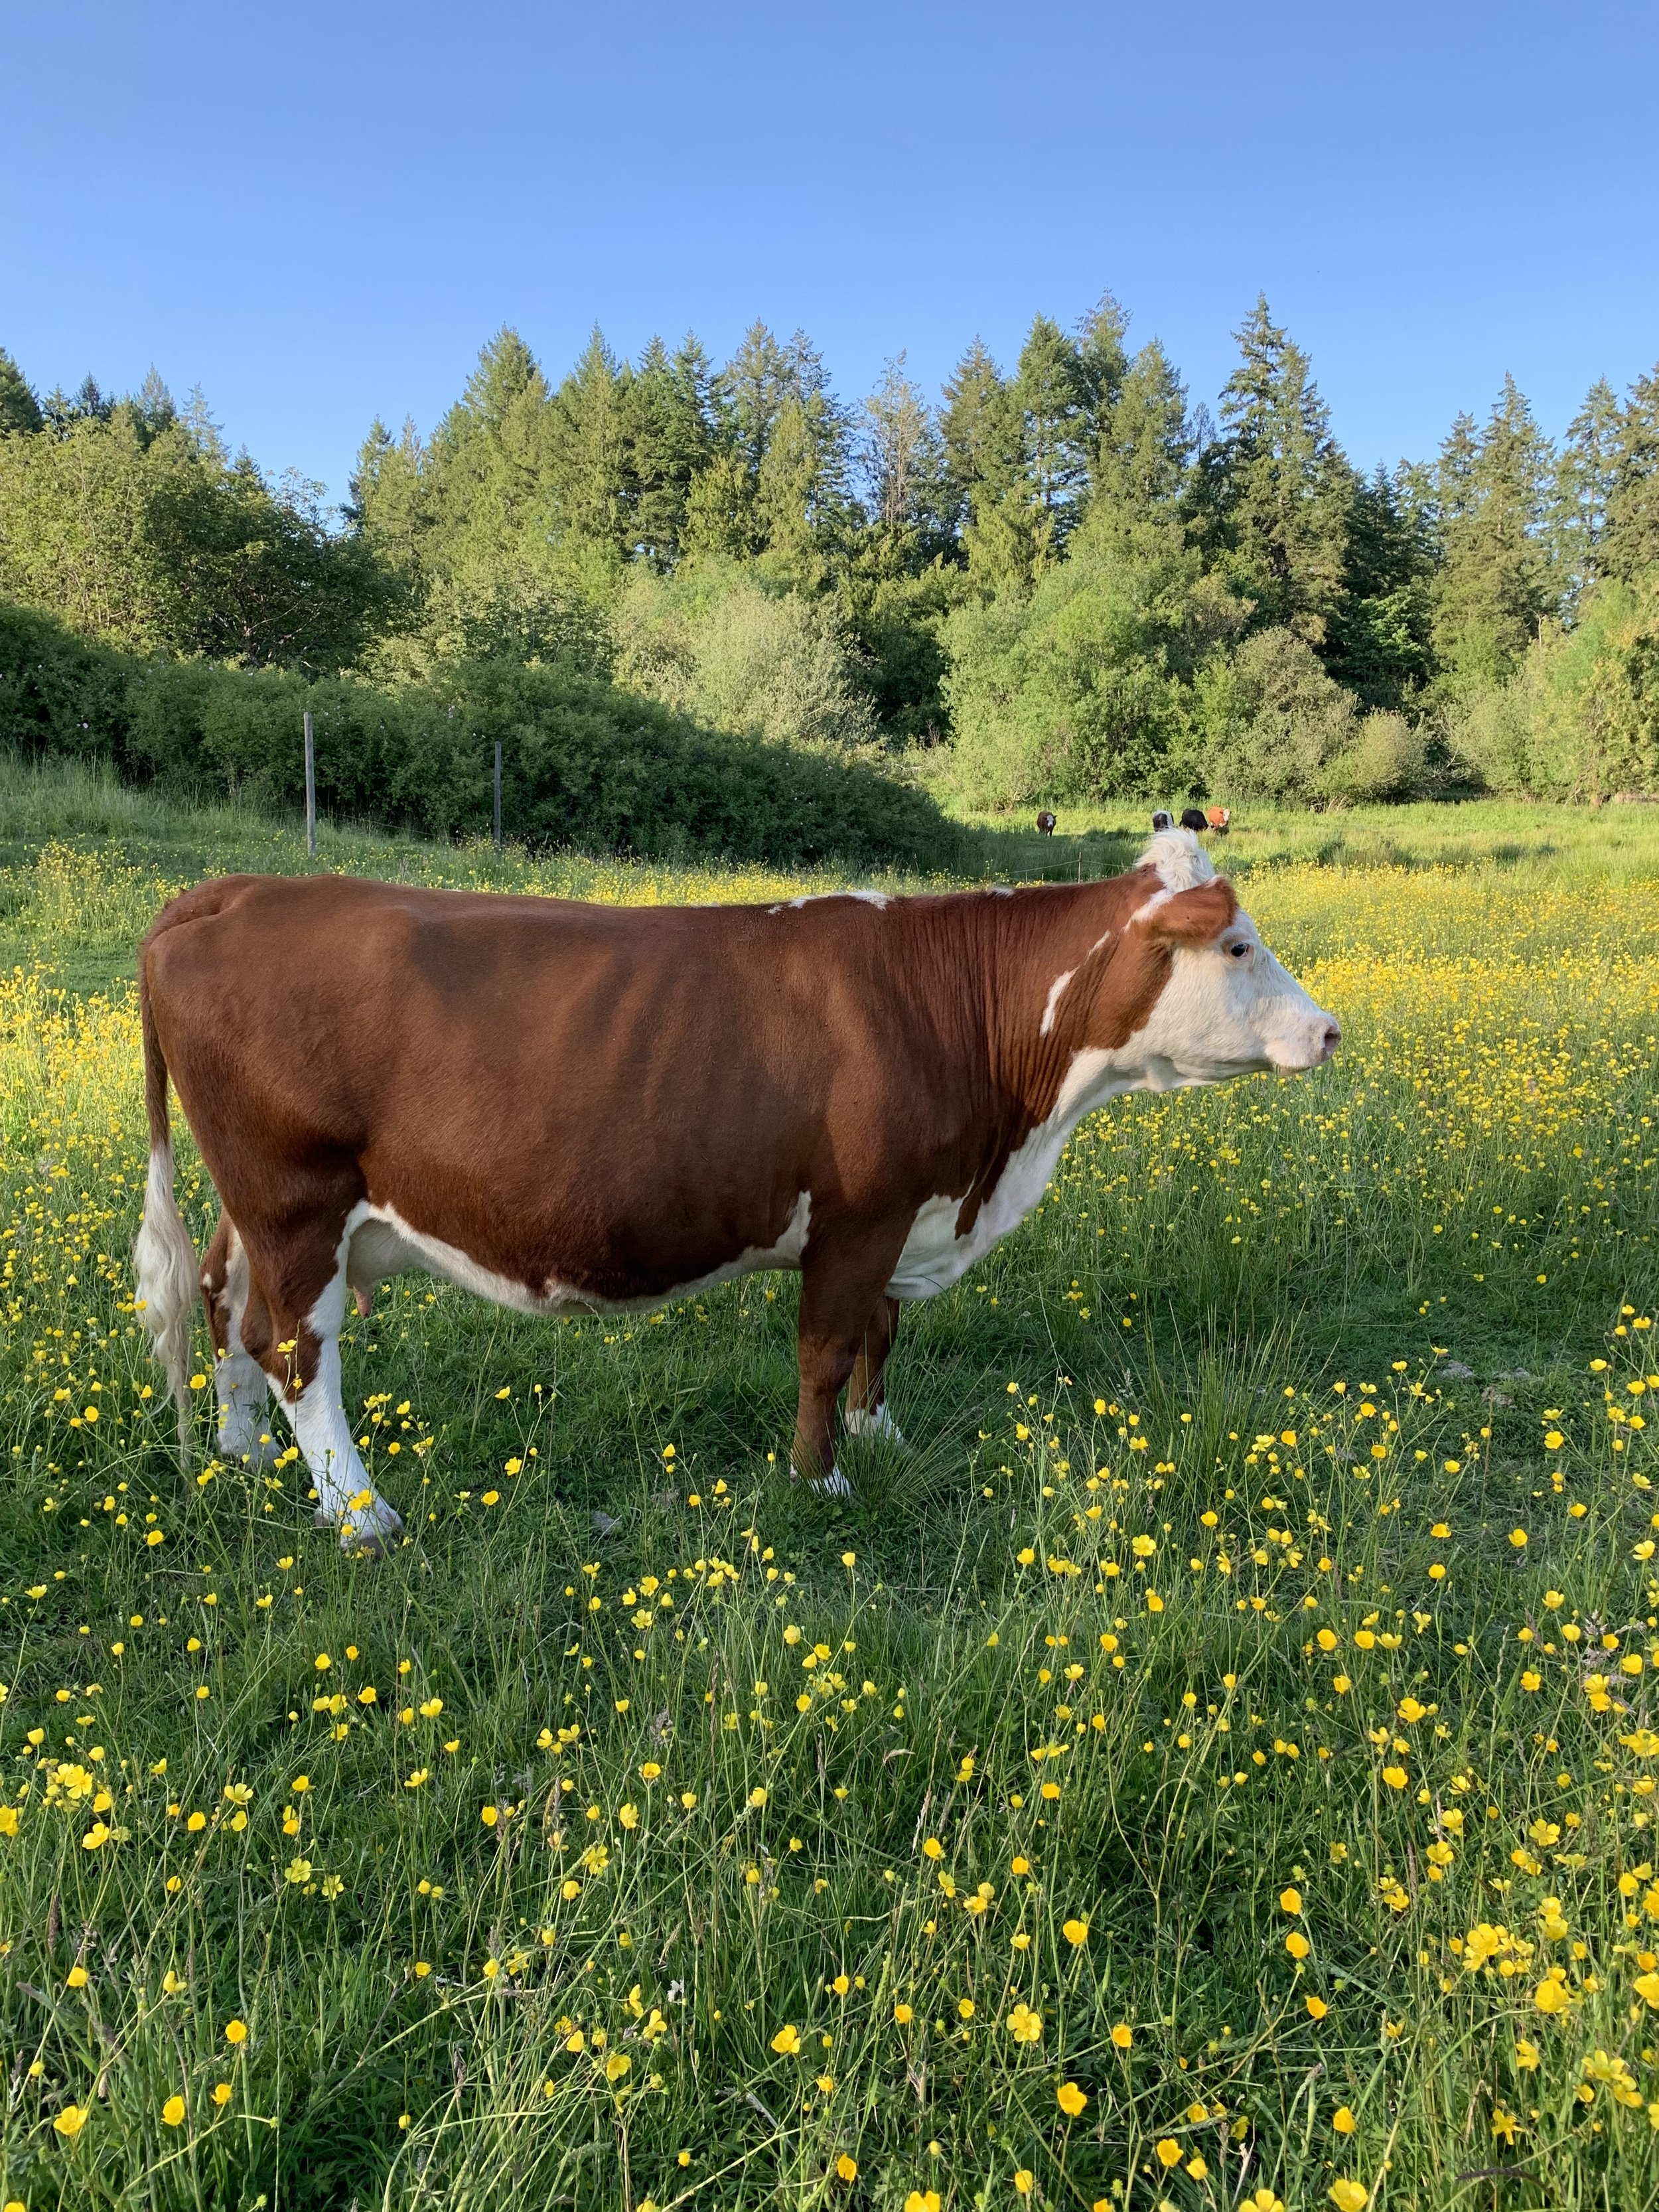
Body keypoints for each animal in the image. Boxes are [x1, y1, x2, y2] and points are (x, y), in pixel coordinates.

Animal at [132, 828, 1339, 1549]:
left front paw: (886, 1440)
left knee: (229, 1308)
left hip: (258, 1208)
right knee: (299, 1350)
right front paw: (821, 1482)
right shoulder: (859, 1213)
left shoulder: (904, 1211)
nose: (1329, 1030)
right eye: (1238, 946)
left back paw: (242, 1455)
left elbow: (881, 1335)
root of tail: (234, 892)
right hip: (298, 1195)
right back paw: (362, 1512)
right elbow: (826, 1349)